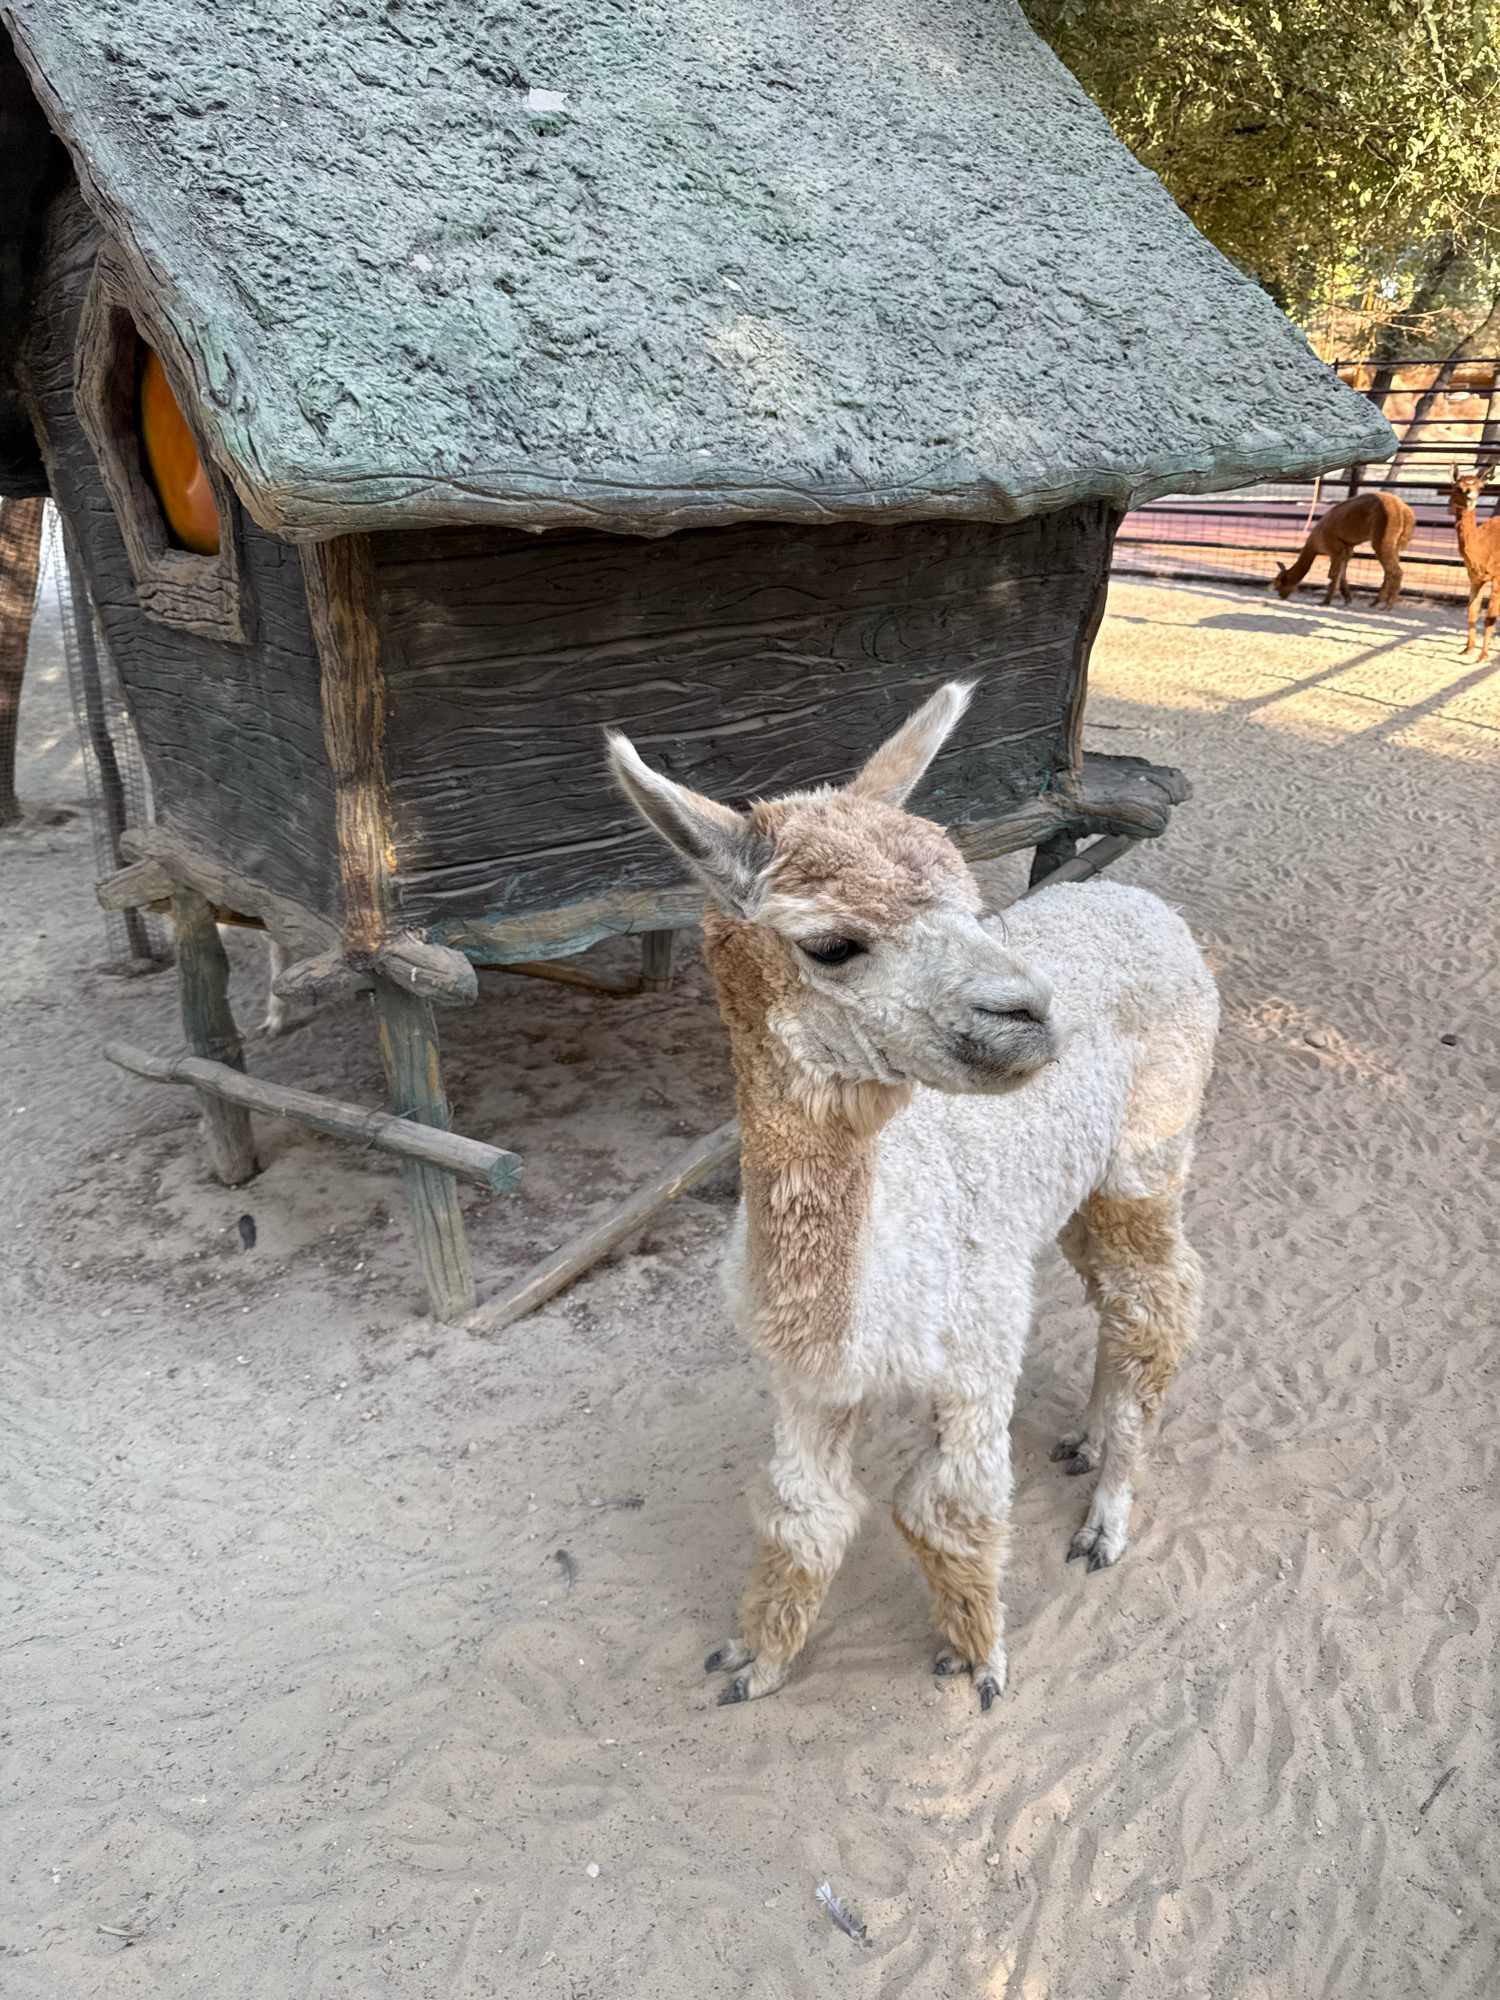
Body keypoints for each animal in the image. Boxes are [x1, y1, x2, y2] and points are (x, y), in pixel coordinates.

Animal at [608, 684, 1218, 1710]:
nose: (1032, 1011)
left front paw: (979, 1661)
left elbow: (950, 1511)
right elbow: (801, 1511)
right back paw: (1090, 1437)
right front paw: (758, 1658)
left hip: (1152, 1144)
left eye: (974, 907)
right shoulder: (807, 1382)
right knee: (1114, 1294)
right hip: (1075, 1186)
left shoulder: (975, 1353)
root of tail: (1135, 897)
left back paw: (1106, 1517)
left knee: (1158, 1300)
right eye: (832, 944)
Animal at [1273, 490, 1416, 610]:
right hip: (1395, 543)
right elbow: (1342, 575)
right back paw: (1376, 602)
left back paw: (1387, 607)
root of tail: (1403, 509)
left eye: (1279, 583)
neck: (1316, 541)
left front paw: (1325, 601)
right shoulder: (1346, 550)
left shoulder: (1336, 550)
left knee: (1396, 571)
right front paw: (1347, 599)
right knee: (1389, 571)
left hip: (1383, 535)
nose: (1281, 595)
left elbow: (1332, 574)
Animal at [1446, 463, 1500, 662]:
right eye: (1457, 486)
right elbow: (1472, 613)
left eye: (1480, 487)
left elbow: (1489, 618)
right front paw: (1468, 649)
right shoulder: (1475, 578)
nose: (1471, 498)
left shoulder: (1497, 577)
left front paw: (1483, 656)